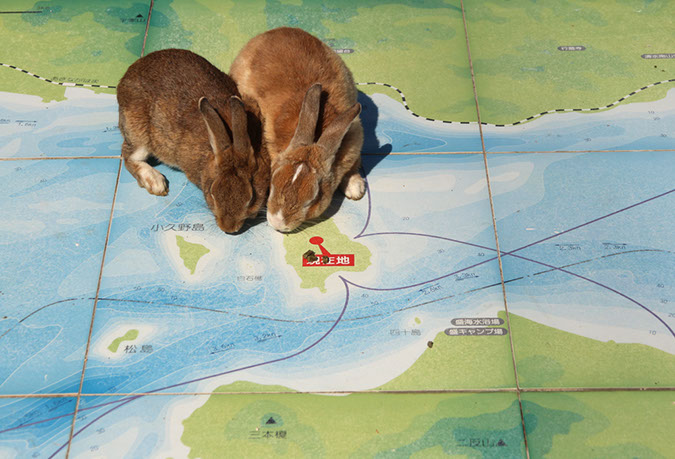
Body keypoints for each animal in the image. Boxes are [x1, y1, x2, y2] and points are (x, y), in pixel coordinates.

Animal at [117, 48, 269, 234]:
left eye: (252, 197)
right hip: (139, 133)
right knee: (128, 155)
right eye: (211, 193)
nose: (228, 229)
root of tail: (125, 79)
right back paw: (155, 182)